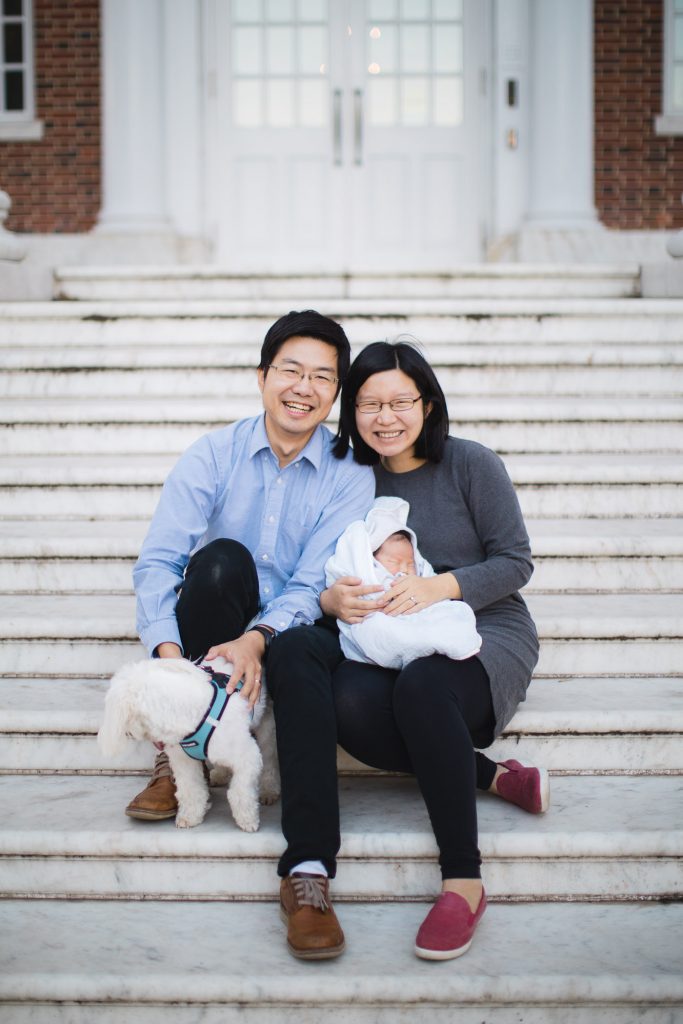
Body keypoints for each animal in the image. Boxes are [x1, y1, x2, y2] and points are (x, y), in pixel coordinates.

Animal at [97, 655, 278, 831]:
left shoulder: (247, 757)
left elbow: (240, 791)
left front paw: (247, 820)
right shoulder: (184, 761)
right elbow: (190, 790)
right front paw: (190, 817)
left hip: (267, 724)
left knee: (270, 758)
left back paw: (269, 791)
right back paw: (220, 774)